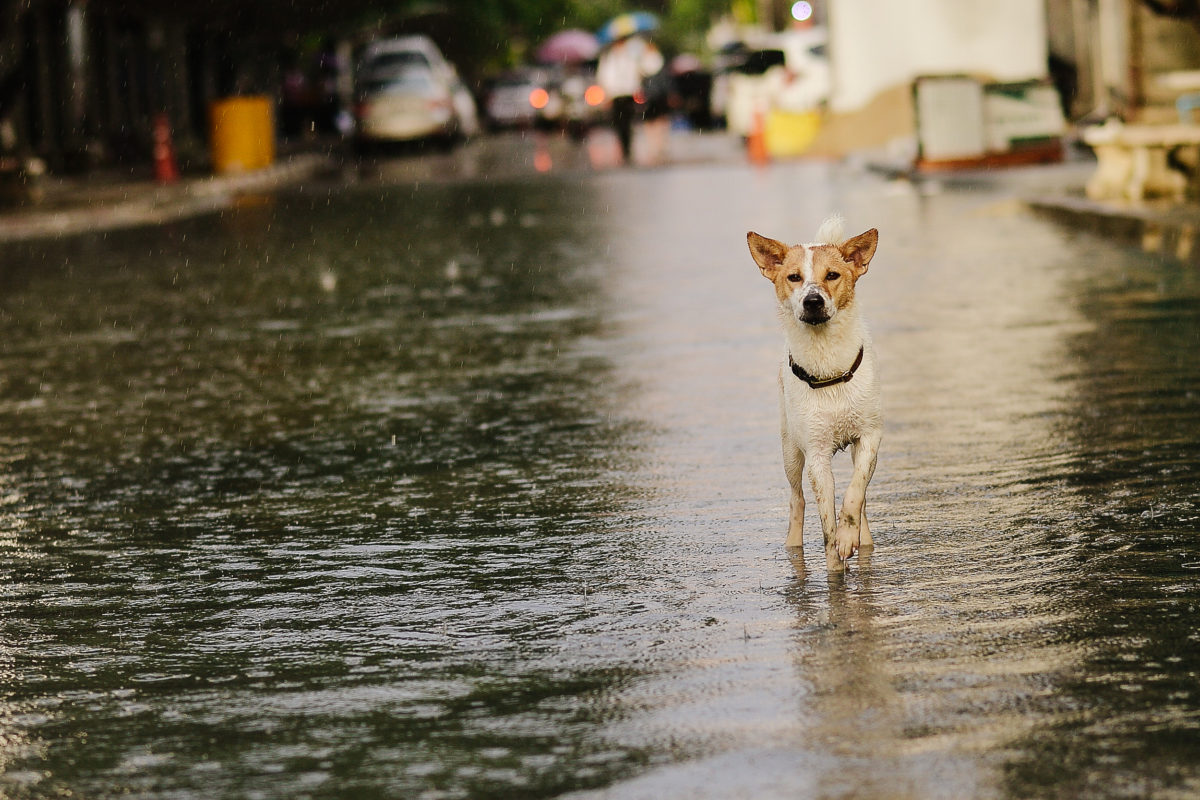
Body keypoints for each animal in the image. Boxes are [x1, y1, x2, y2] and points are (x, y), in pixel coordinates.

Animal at [748, 215, 883, 573]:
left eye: (832, 275)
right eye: (794, 277)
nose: (813, 301)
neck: (829, 368)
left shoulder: (870, 437)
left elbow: (854, 493)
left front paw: (849, 538)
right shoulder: (816, 456)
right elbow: (826, 522)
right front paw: (835, 561)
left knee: (862, 499)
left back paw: (862, 538)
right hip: (790, 452)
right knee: (797, 500)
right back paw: (793, 543)